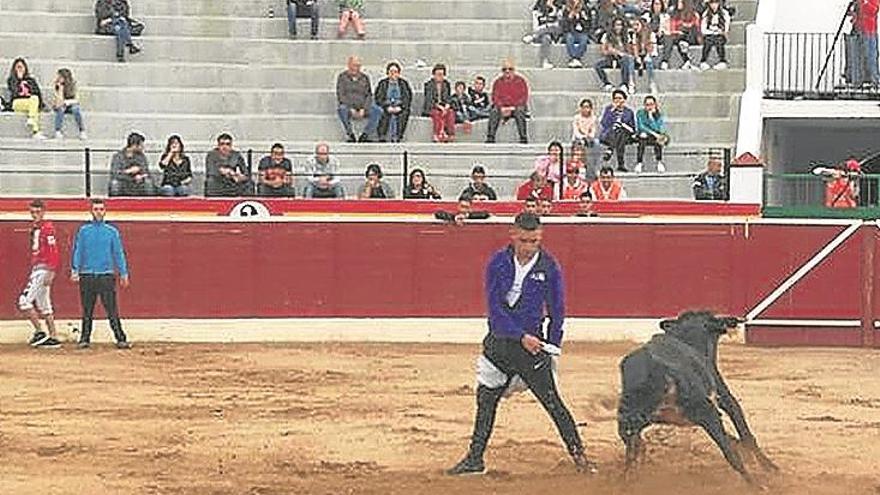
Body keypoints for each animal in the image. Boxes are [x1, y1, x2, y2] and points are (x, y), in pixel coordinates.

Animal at [620, 312, 776, 486]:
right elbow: (744, 433)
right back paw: (756, 485)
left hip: (632, 416)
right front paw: (769, 466)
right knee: (730, 452)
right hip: (707, 411)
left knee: (629, 445)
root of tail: (656, 370)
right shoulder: (724, 398)